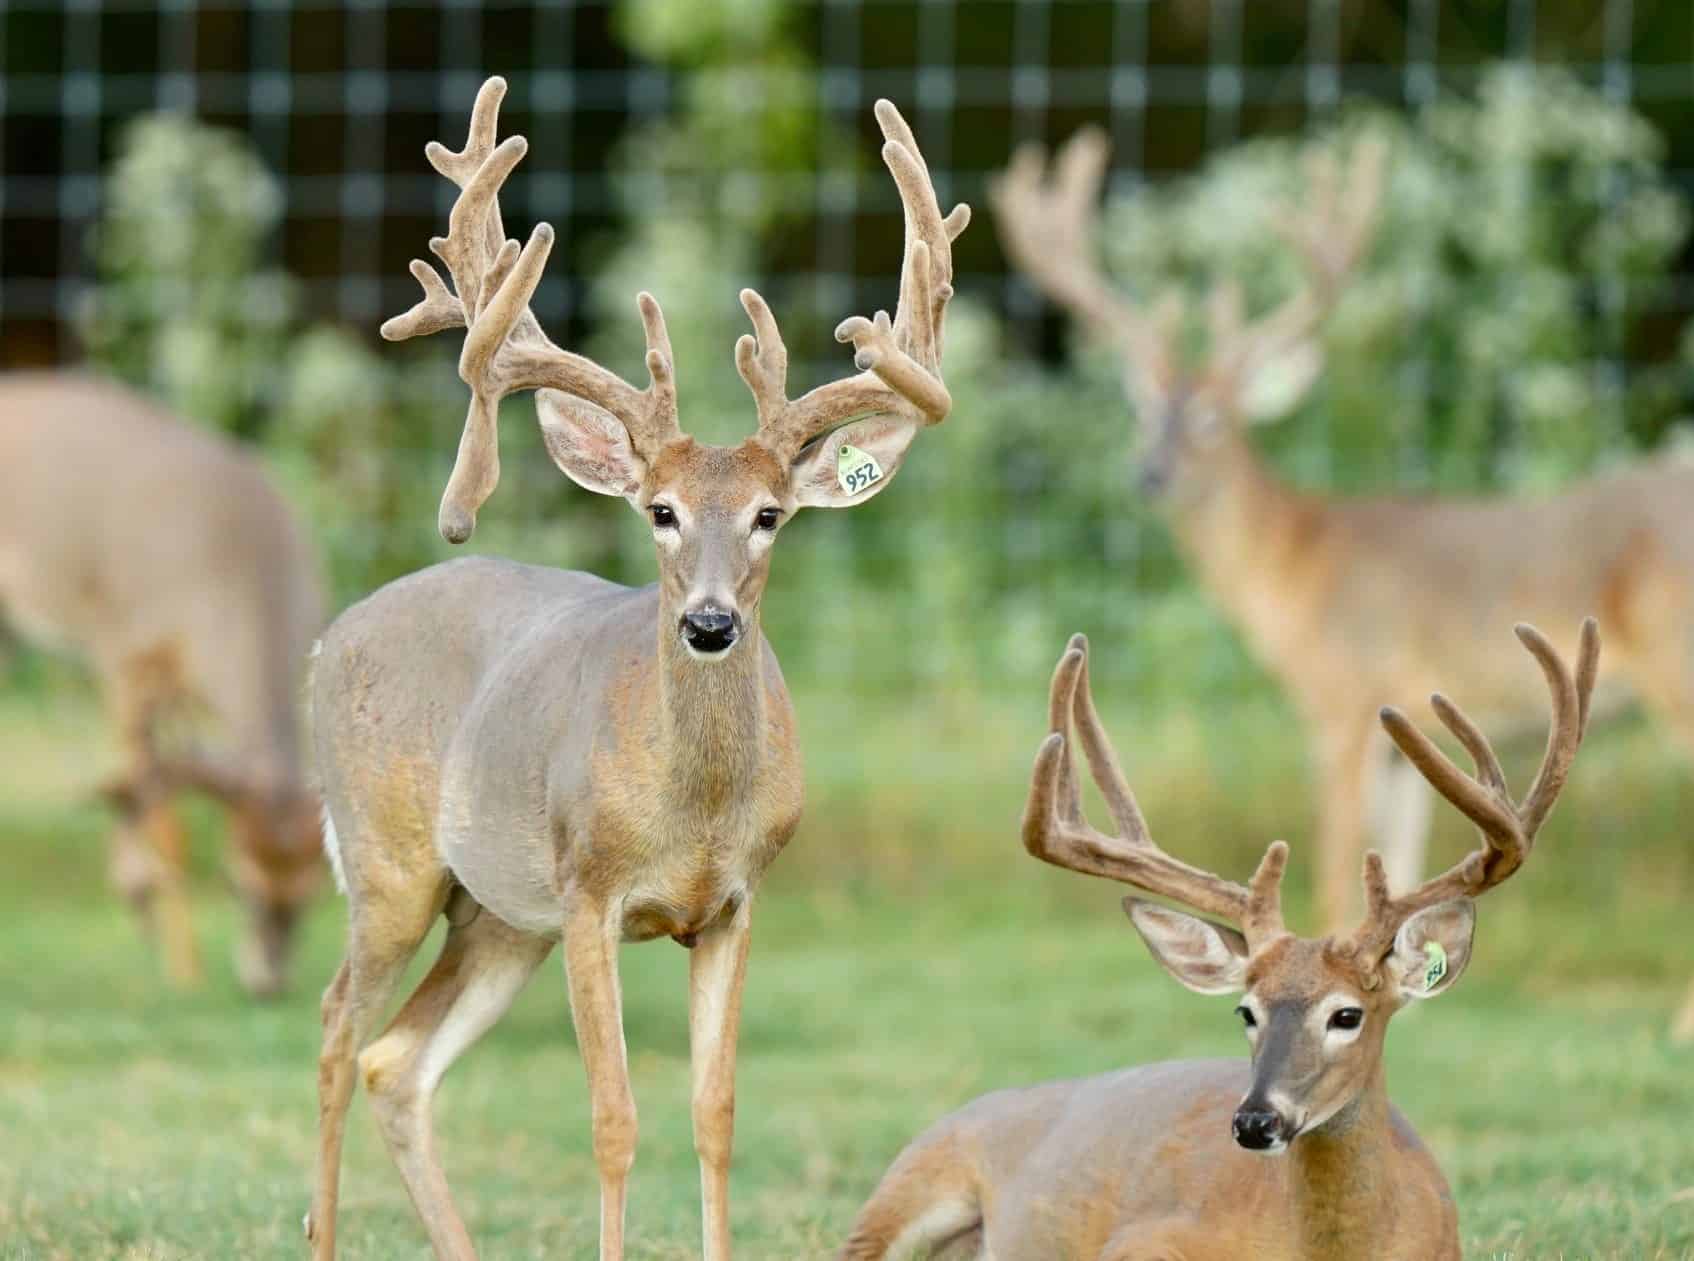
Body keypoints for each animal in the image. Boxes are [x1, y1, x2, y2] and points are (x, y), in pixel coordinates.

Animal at [0, 371, 325, 996]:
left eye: (313, 891)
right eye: (236, 883)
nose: (267, 982)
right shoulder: (124, 650)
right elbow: (160, 811)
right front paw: (176, 960)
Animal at [303, 76, 969, 1261]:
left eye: (769, 515)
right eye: (658, 511)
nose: (708, 622)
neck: (688, 810)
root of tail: (327, 641)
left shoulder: (736, 902)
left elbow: (714, 1112)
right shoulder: (590, 892)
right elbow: (612, 1116)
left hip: (494, 915)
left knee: (396, 1060)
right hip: (391, 865)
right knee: (338, 1027)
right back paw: (319, 1234)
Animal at [993, 129, 1694, 1037]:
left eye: (1212, 417)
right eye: (1144, 410)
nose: (1150, 472)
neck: (1294, 560)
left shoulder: (1343, 697)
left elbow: (1335, 861)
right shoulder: (1402, 749)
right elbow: (1396, 872)